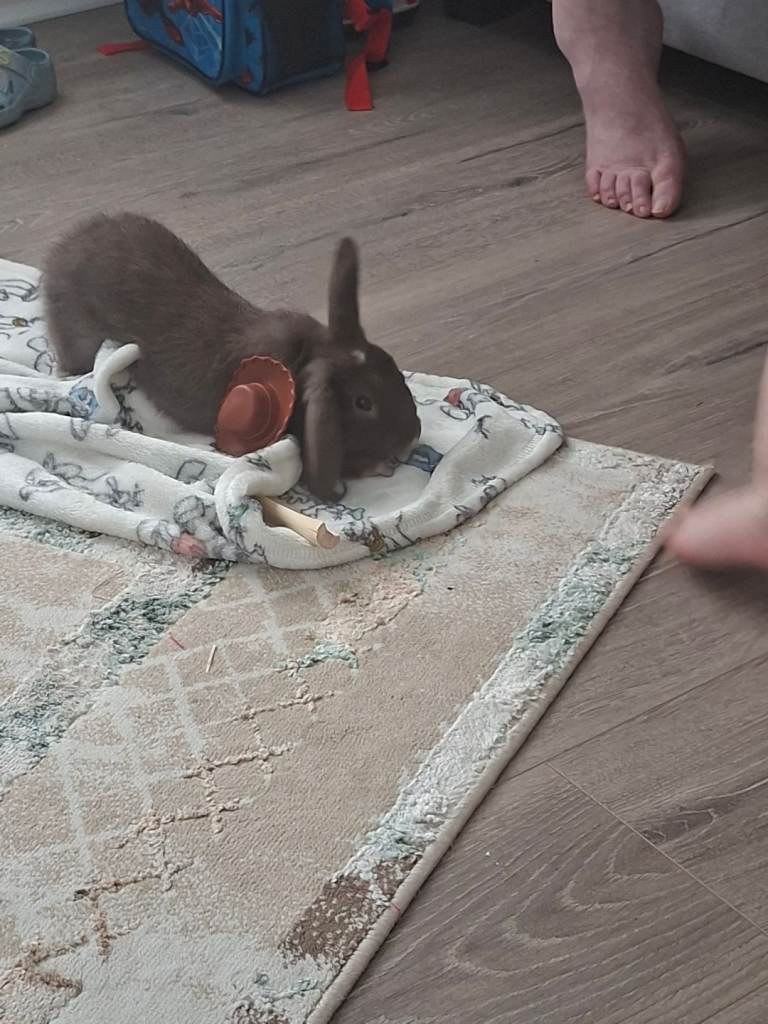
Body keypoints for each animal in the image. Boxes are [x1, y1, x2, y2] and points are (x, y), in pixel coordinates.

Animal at [42, 212, 421, 501]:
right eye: (363, 403)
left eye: (393, 366)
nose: (413, 437)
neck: (303, 362)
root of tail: (59, 254)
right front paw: (377, 466)